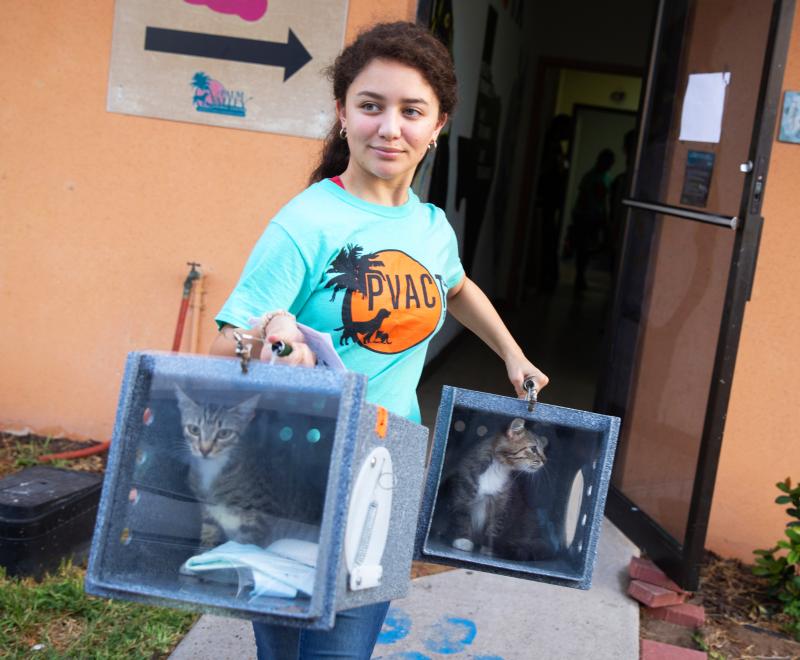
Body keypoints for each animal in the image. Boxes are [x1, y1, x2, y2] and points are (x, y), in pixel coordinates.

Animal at [434, 418, 548, 556]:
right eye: (533, 449)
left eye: (543, 450)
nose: (545, 460)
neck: (497, 468)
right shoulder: (463, 494)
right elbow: (462, 518)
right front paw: (462, 541)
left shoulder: (501, 504)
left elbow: (494, 527)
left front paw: (487, 548)